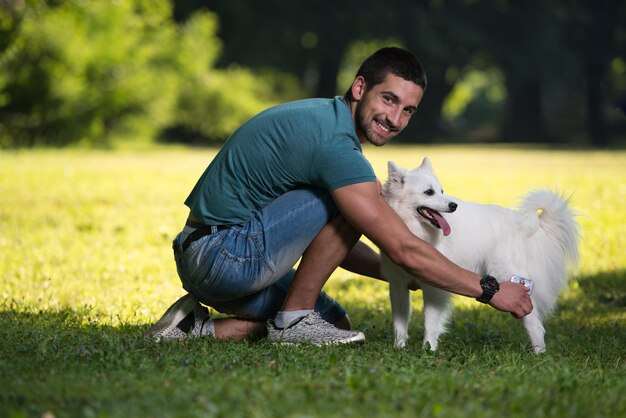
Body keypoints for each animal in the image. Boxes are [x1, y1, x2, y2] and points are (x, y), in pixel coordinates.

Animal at [378, 157, 576, 352]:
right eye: (429, 192)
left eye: (442, 191)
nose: (453, 206)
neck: (413, 228)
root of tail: (522, 224)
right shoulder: (398, 285)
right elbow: (400, 323)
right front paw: (399, 349)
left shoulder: (434, 288)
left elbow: (430, 323)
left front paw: (428, 350)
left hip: (510, 278)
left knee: (535, 325)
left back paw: (538, 355)